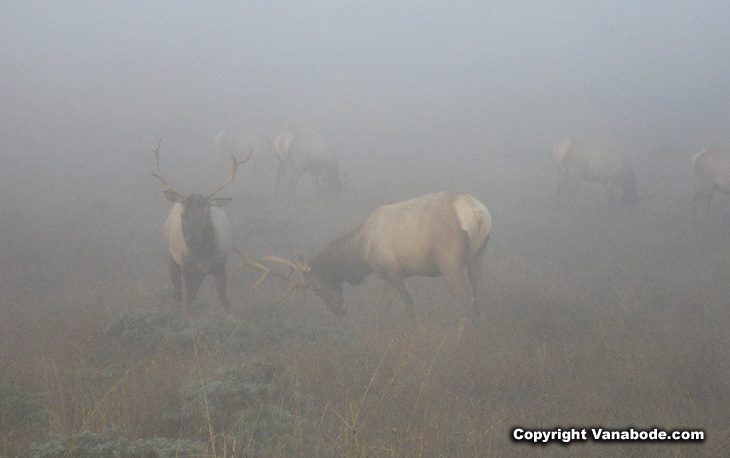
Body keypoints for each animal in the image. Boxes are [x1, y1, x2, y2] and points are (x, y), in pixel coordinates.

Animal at [151, 140, 252, 311]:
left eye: (205, 215)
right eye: (183, 215)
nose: (191, 241)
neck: (204, 255)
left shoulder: (220, 265)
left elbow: (224, 301)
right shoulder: (186, 265)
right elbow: (188, 300)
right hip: (171, 254)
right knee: (178, 291)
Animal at [240, 191, 491, 336]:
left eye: (315, 287)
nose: (339, 310)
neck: (362, 252)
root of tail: (478, 213)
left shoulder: (391, 269)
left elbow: (409, 305)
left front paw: (419, 334)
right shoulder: (393, 273)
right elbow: (380, 311)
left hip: (449, 258)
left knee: (465, 299)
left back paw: (455, 339)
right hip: (479, 254)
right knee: (478, 294)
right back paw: (481, 334)